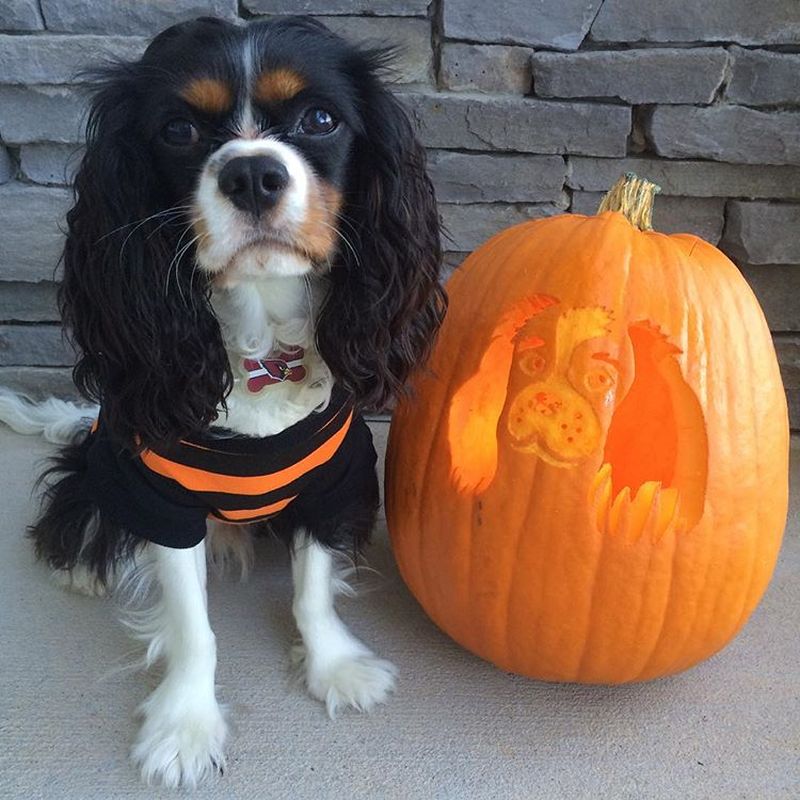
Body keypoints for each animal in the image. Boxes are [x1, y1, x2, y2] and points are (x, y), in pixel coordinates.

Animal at [0, 15, 444, 792]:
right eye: (178, 130)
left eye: (320, 119)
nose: (252, 173)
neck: (260, 344)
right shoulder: (159, 495)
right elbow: (191, 624)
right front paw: (185, 727)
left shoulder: (334, 479)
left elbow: (311, 588)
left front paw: (335, 668)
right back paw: (82, 557)